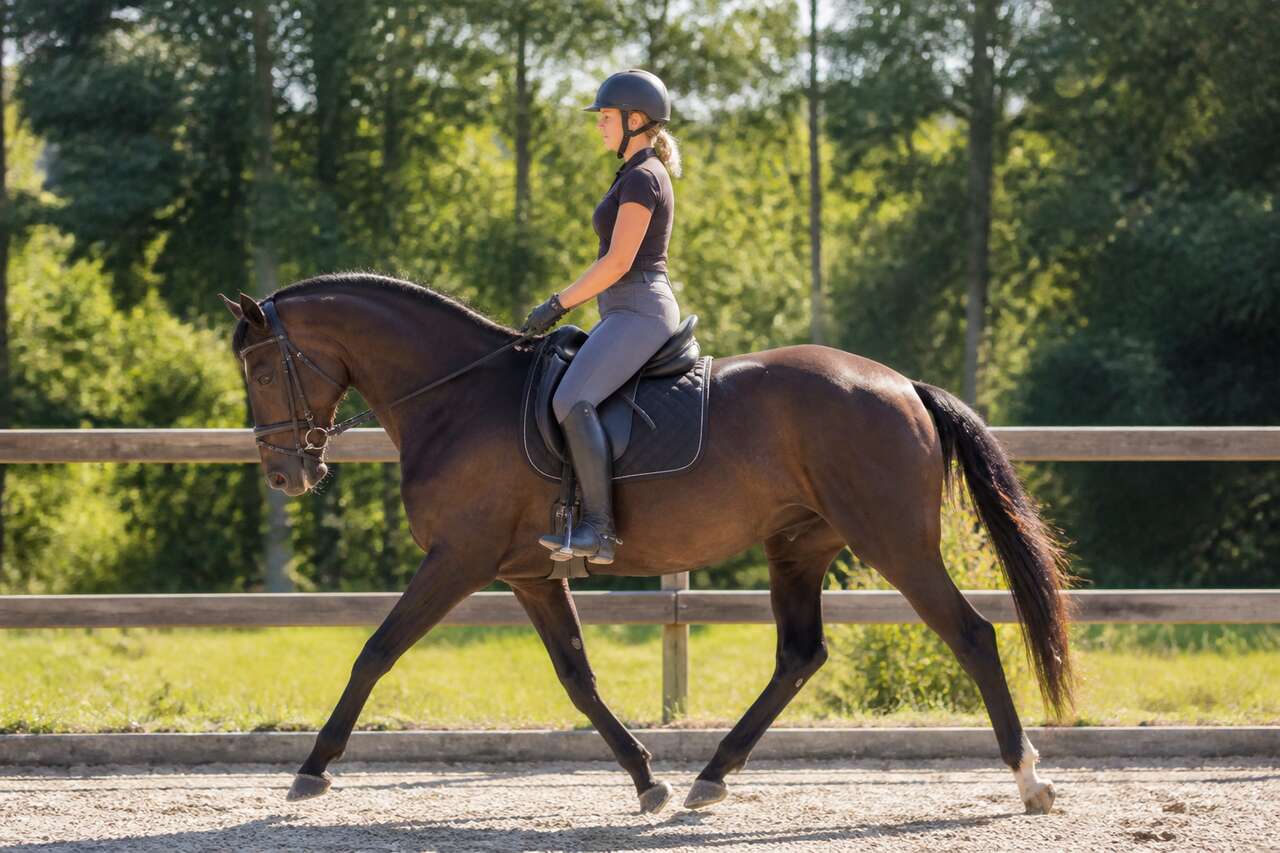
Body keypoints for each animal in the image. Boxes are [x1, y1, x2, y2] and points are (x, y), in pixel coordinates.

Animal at [224, 272, 1076, 816]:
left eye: (263, 369)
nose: (285, 473)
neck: (459, 396)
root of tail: (904, 386)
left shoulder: (459, 559)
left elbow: (376, 649)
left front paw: (311, 768)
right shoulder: (531, 573)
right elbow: (578, 677)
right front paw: (645, 778)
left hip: (894, 541)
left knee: (970, 633)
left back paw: (1029, 779)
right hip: (797, 546)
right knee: (799, 655)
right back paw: (710, 776)